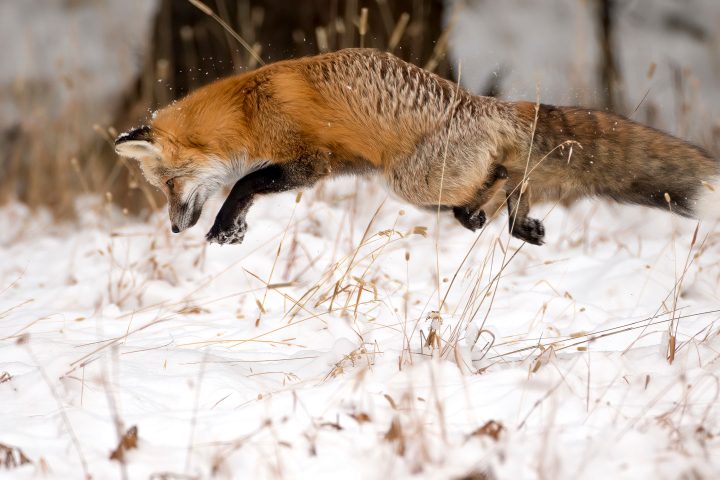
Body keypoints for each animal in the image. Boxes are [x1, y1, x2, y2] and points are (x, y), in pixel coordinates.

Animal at [115, 48, 719, 246]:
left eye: (169, 186)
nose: (174, 229)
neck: (248, 109)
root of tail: (489, 104)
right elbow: (248, 185)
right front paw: (233, 228)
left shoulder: (310, 162)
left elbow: (244, 182)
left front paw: (224, 226)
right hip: (422, 187)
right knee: (506, 184)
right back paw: (513, 223)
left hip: (408, 181)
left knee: (504, 175)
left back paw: (495, 214)